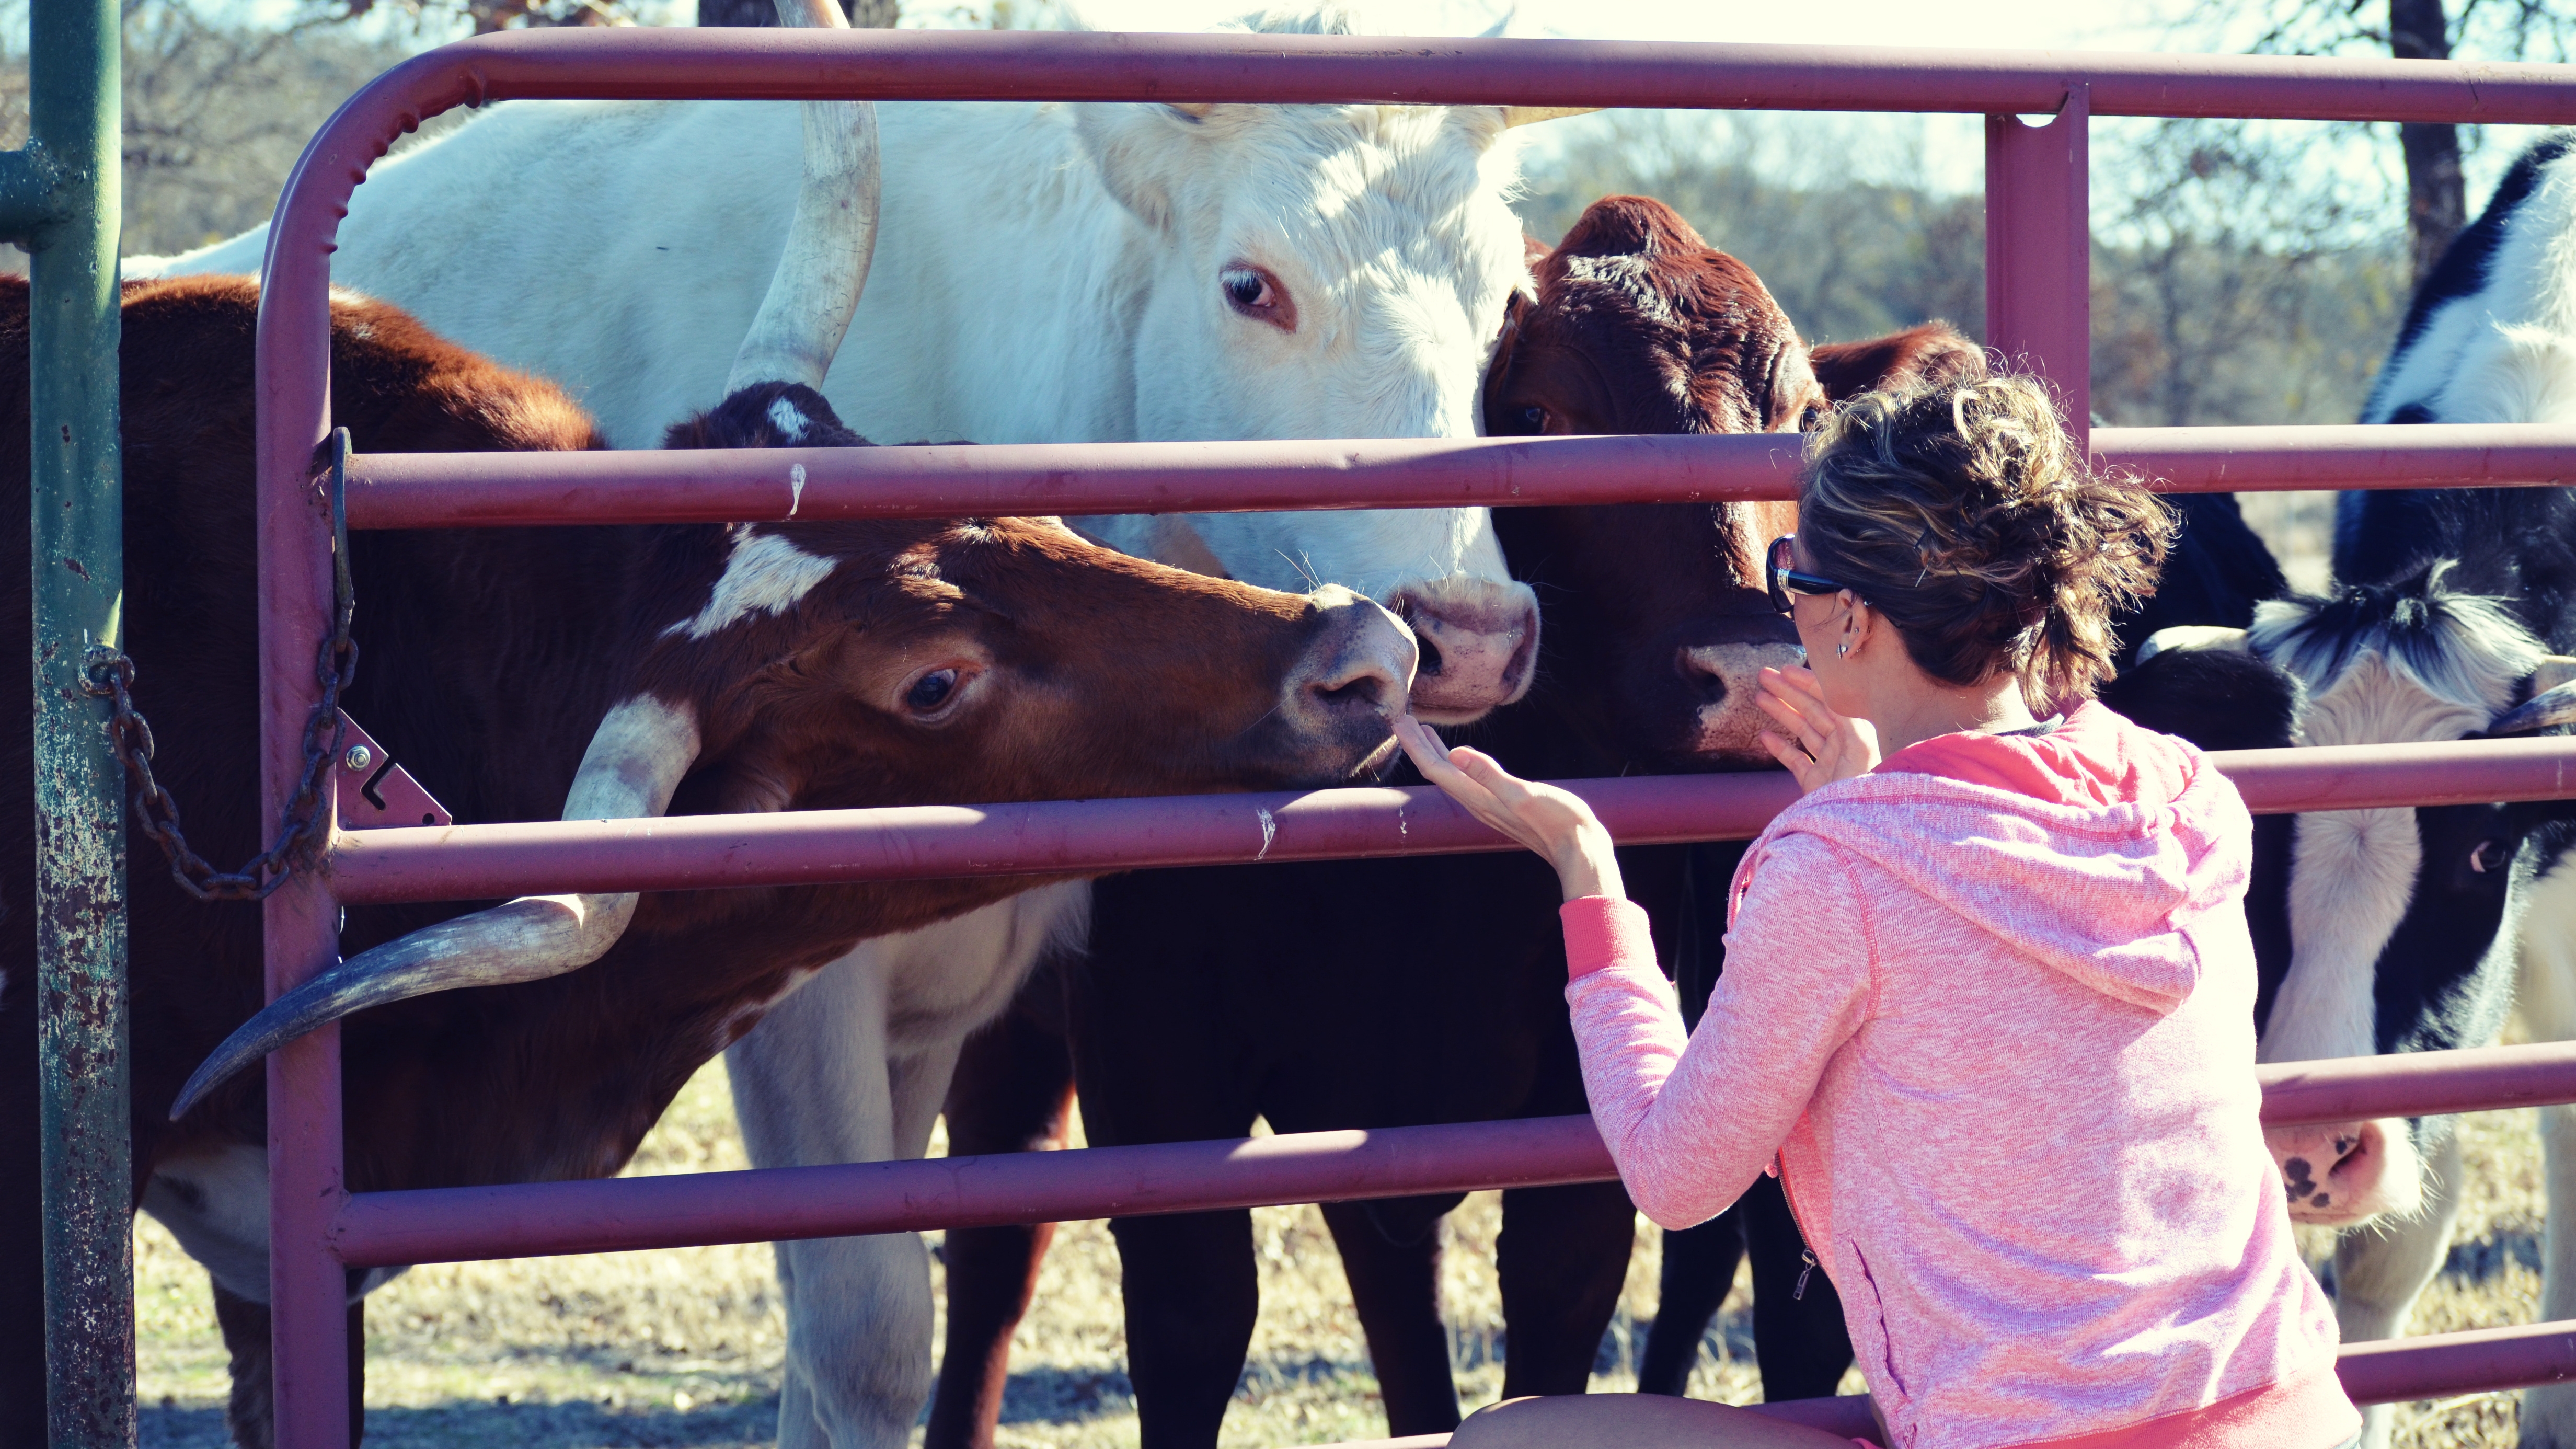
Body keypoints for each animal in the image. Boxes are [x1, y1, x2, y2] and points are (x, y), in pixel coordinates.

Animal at [151, 8, 1576, 1433]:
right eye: (1249, 286)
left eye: (1508, 303)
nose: (1465, 633)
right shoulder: (794, 989)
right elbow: (863, 1327)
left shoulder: (944, 1005)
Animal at [927, 194, 1968, 1444]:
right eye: (1534, 414)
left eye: (1802, 421)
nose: (1750, 665)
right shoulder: (1157, 1068)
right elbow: (1195, 1316)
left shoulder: (1562, 1141)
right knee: (994, 1246)